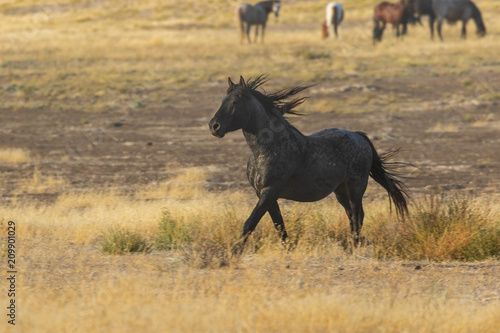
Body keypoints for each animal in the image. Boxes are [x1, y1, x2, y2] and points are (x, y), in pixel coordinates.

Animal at [209, 74, 408, 252]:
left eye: (236, 102)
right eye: (222, 100)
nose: (214, 126)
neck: (267, 148)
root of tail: (359, 136)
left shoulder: (270, 191)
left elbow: (250, 223)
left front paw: (233, 253)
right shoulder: (264, 194)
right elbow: (279, 225)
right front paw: (288, 251)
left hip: (356, 188)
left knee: (357, 215)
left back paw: (355, 246)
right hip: (340, 190)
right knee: (353, 215)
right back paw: (353, 245)